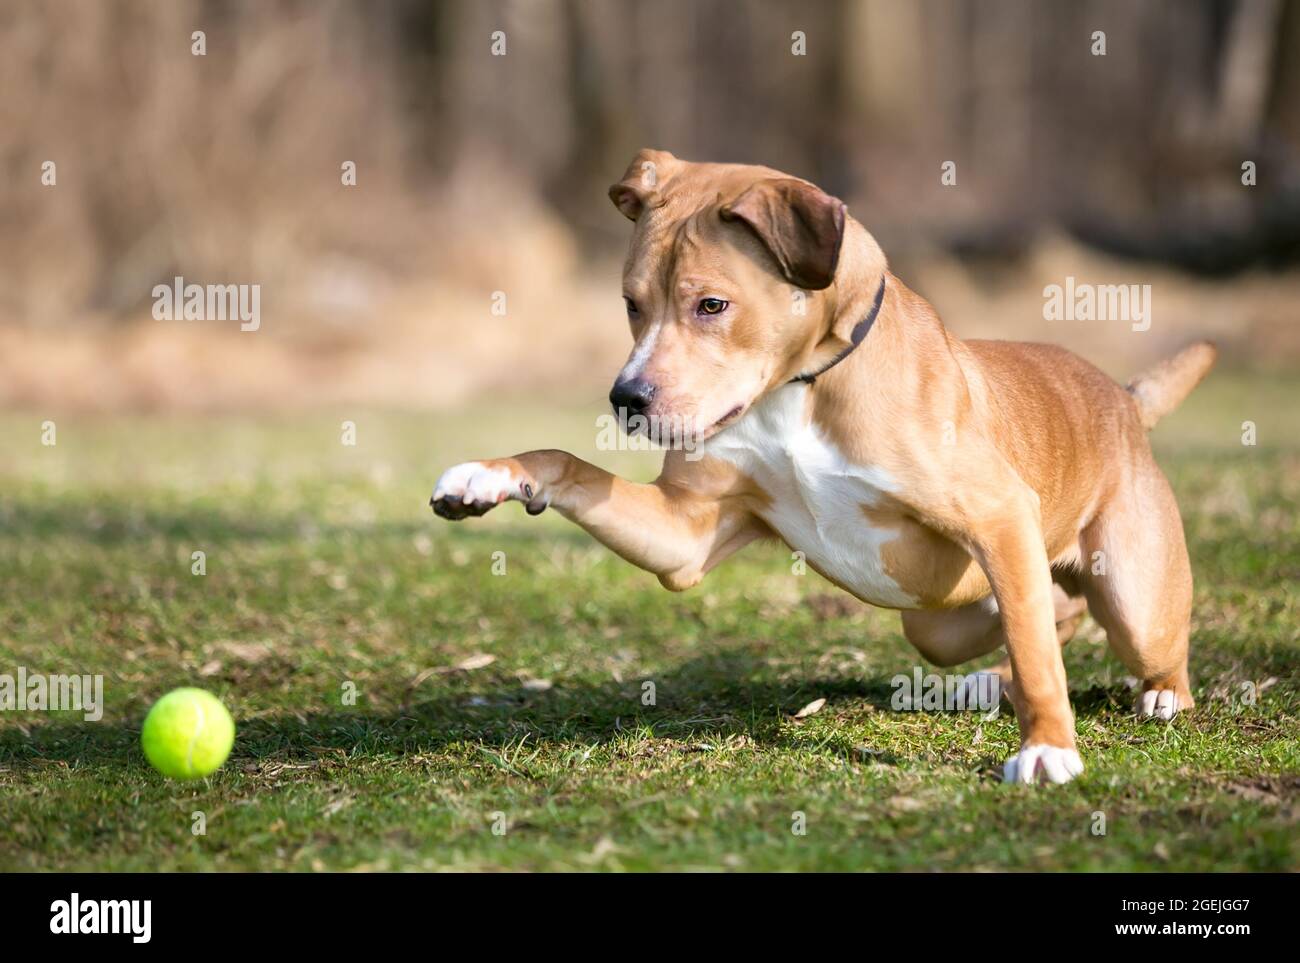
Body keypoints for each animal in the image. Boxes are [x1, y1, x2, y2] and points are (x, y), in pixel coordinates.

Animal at [431, 148, 1211, 779]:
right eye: (631, 303)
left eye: (712, 304)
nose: (627, 399)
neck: (799, 389)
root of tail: (1123, 398)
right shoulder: (686, 536)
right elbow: (564, 461)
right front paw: (486, 476)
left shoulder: (998, 515)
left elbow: (1036, 651)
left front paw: (1048, 747)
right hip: (936, 622)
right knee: (1054, 607)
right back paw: (991, 680)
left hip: (1130, 598)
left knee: (1116, 638)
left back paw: (1160, 695)